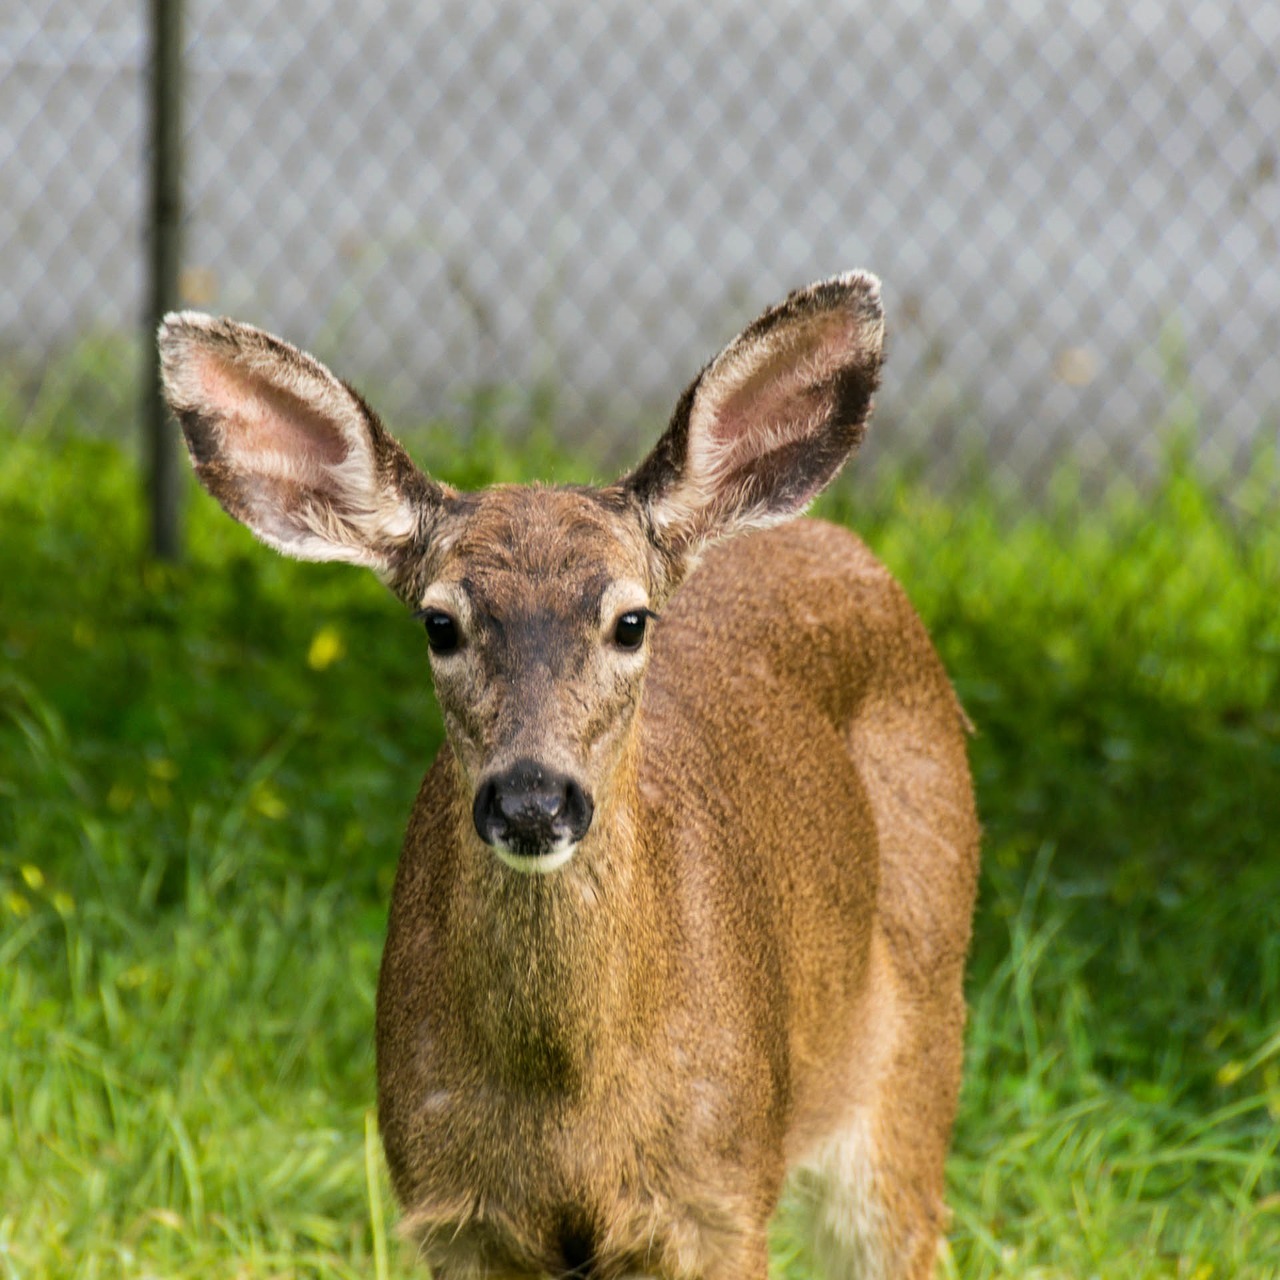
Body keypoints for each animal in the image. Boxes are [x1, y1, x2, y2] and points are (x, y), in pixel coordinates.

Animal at [160, 275, 977, 1280]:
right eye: (440, 623)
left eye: (630, 621)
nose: (532, 798)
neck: (569, 1102)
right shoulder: (451, 1206)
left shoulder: (720, 1196)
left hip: (921, 1038)